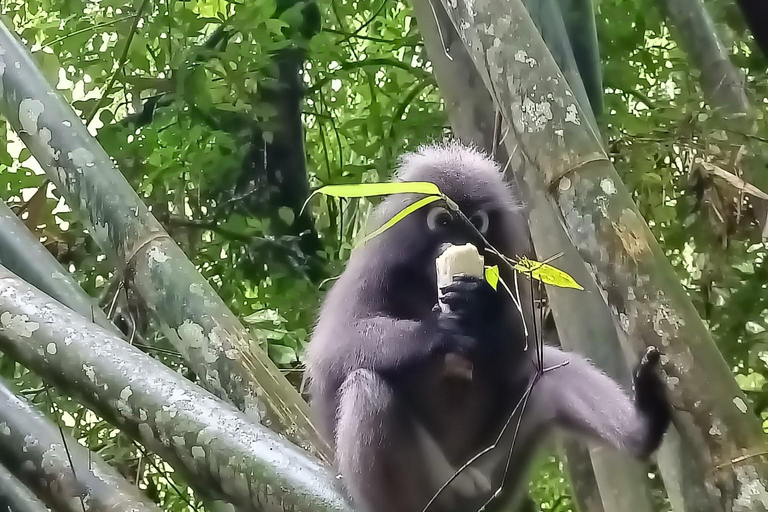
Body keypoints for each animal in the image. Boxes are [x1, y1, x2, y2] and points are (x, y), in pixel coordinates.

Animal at [304, 140, 668, 512]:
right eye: (444, 221)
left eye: (476, 222)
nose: (460, 241)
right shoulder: (376, 260)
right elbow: (332, 350)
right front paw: (440, 331)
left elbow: (520, 351)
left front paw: (477, 304)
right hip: (435, 480)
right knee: (366, 389)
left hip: (492, 473)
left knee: (549, 372)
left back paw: (643, 429)